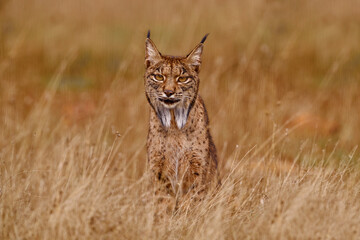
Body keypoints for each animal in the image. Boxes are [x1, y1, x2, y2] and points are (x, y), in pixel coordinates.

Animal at [144, 31, 219, 205]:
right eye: (159, 77)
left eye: (182, 79)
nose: (168, 92)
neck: (173, 123)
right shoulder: (158, 168)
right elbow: (162, 202)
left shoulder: (196, 167)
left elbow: (192, 201)